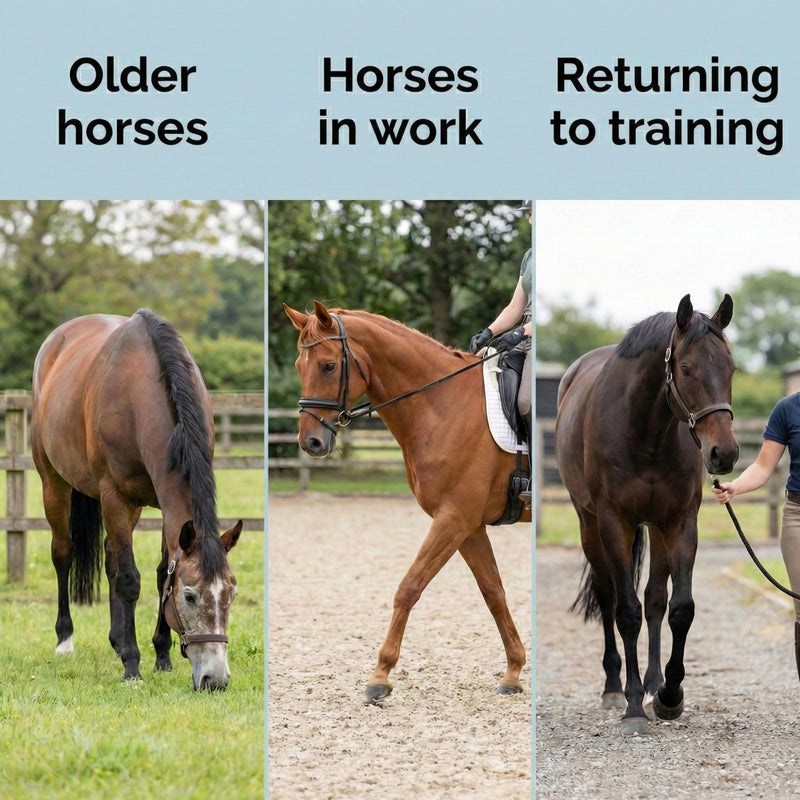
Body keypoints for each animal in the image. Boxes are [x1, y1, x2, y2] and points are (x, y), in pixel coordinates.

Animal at [30, 310, 243, 691]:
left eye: (231, 595)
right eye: (190, 596)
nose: (215, 679)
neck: (137, 399)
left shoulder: (163, 505)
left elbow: (160, 575)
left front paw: (161, 655)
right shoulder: (115, 496)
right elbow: (130, 580)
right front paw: (133, 667)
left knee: (110, 558)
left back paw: (117, 640)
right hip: (54, 483)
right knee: (63, 554)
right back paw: (65, 640)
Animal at [284, 301, 530, 702]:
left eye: (329, 366)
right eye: (298, 366)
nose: (311, 443)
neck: (444, 406)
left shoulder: (453, 519)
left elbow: (409, 587)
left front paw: (380, 675)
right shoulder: (469, 525)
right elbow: (493, 592)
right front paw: (513, 671)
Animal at [554, 293, 739, 734]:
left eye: (731, 368)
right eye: (686, 369)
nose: (724, 454)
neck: (645, 431)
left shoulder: (681, 522)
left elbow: (679, 608)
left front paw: (670, 695)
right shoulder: (613, 522)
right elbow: (626, 612)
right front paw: (634, 706)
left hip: (655, 527)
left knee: (655, 598)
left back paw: (655, 684)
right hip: (589, 525)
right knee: (607, 596)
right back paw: (613, 688)